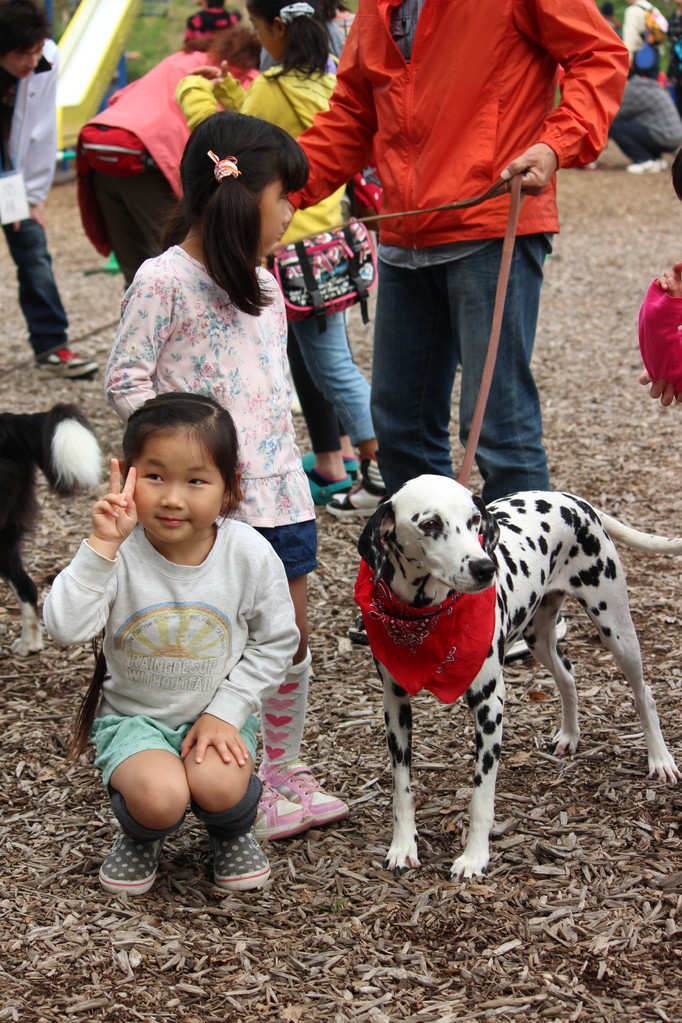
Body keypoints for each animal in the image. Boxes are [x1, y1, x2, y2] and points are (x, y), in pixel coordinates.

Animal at [357, 476, 682, 879]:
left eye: (474, 520)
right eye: (430, 524)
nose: (485, 568)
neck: (424, 615)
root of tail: (572, 499)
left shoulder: (489, 705)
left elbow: (481, 794)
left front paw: (474, 857)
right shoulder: (395, 705)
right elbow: (401, 787)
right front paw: (403, 847)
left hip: (617, 629)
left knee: (644, 693)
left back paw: (660, 759)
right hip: (539, 636)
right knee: (568, 677)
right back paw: (570, 735)